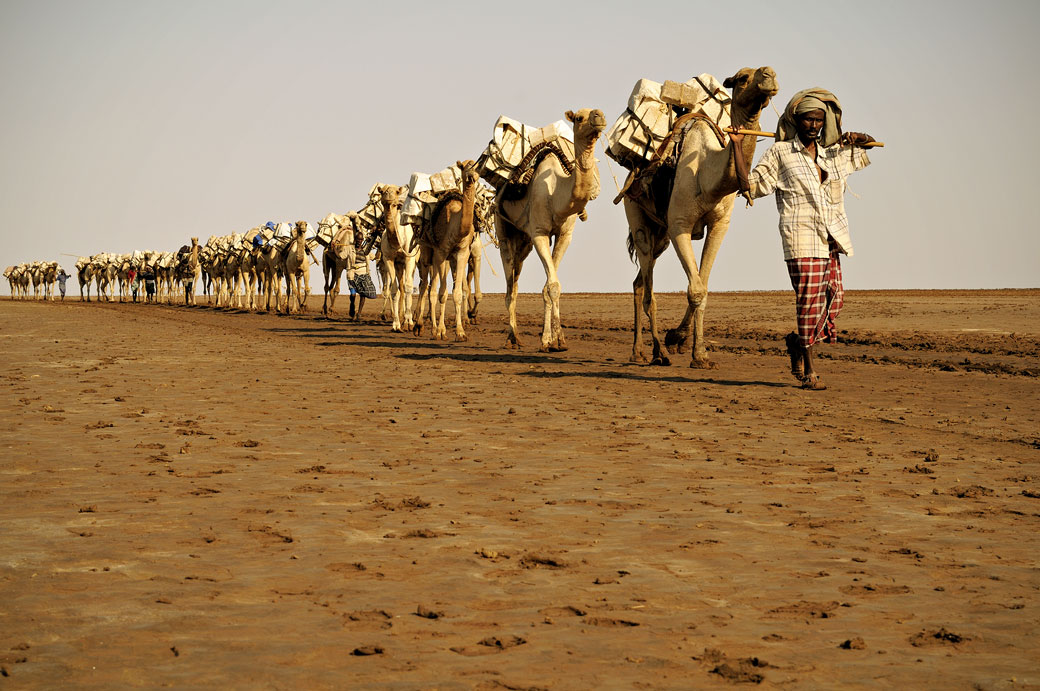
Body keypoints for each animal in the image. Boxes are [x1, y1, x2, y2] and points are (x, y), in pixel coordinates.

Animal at [497, 110, 607, 353]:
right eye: (579, 117)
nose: (599, 116)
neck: (556, 193)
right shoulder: (539, 233)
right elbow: (553, 285)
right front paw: (549, 340)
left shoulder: (564, 235)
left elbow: (551, 286)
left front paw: (557, 340)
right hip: (504, 230)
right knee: (510, 287)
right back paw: (512, 338)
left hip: (524, 241)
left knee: (515, 279)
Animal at [619, 65, 777, 366]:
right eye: (742, 79)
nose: (769, 75)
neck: (708, 175)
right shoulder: (679, 224)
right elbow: (695, 289)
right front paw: (683, 345)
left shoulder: (719, 225)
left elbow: (702, 286)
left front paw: (694, 348)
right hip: (637, 217)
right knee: (648, 292)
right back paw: (657, 352)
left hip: (661, 236)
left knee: (638, 284)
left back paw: (638, 350)